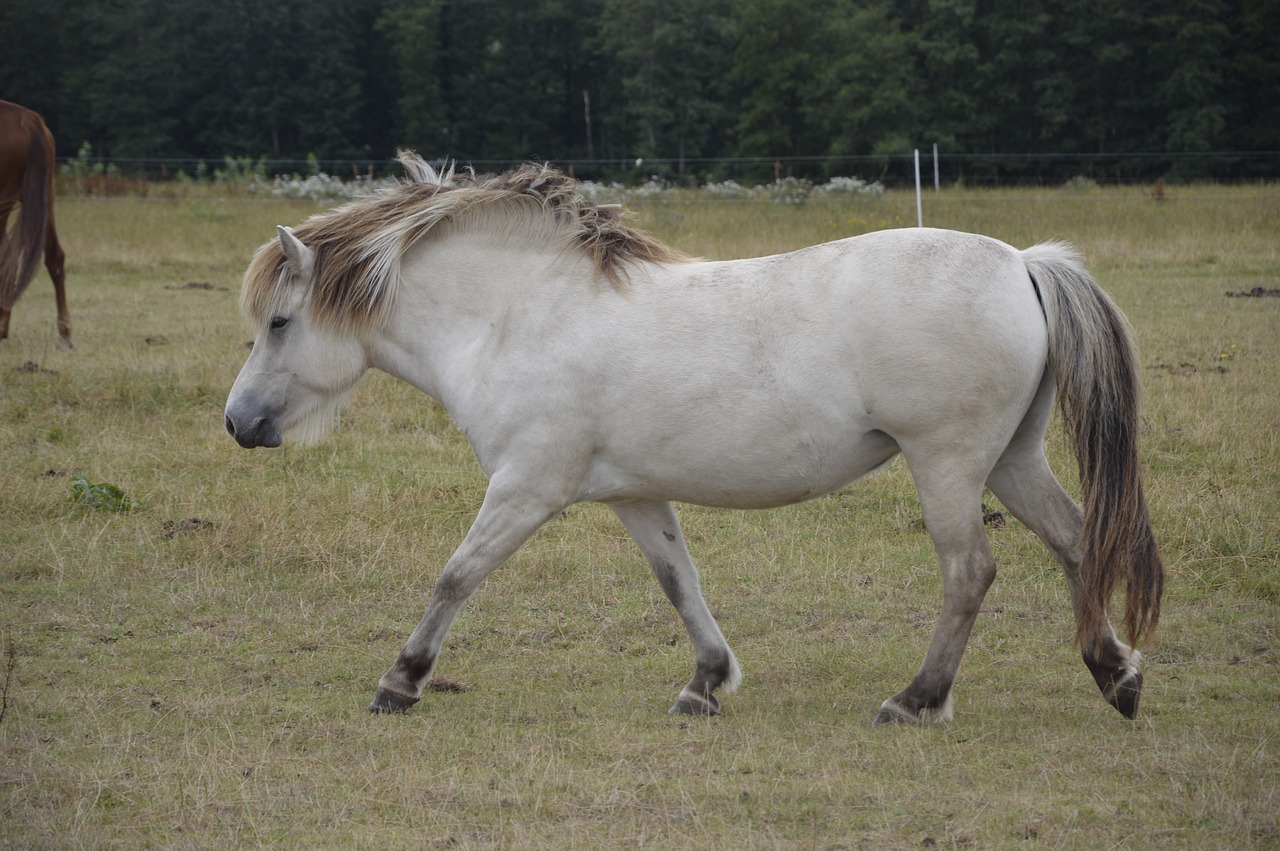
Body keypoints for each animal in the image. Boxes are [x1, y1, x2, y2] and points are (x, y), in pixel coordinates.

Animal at [225, 149, 1167, 721]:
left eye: (278, 322)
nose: (238, 423)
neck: (519, 316)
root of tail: (1023, 262)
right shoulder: (635, 495)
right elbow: (681, 582)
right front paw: (706, 683)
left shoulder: (528, 486)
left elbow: (457, 574)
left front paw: (401, 679)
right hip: (1011, 460)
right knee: (1078, 541)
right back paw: (1116, 675)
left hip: (948, 463)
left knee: (971, 570)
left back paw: (916, 698)